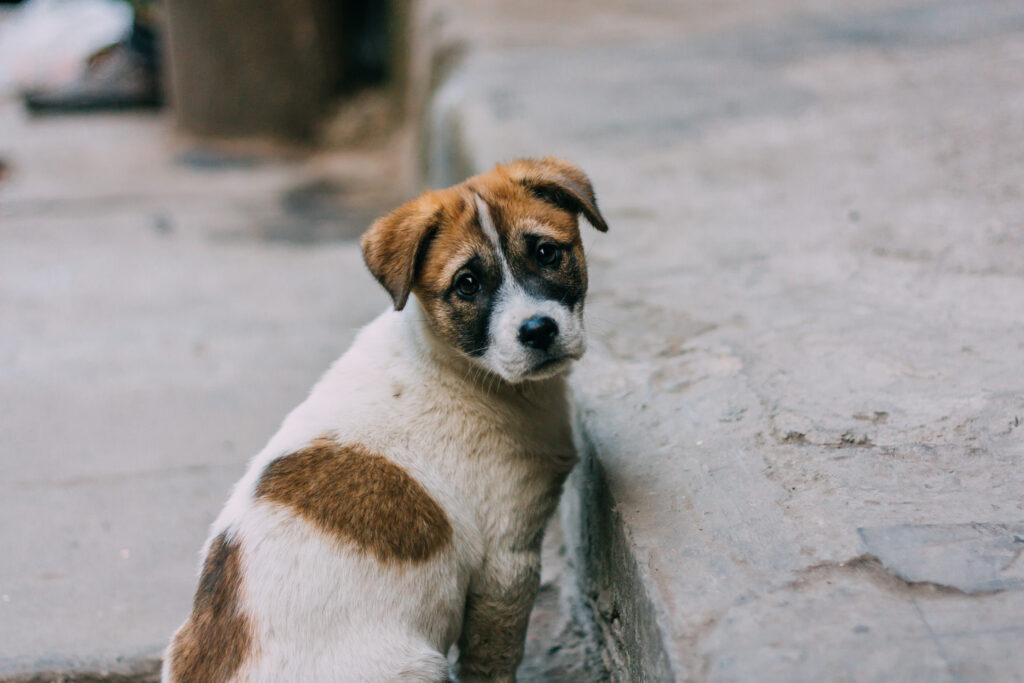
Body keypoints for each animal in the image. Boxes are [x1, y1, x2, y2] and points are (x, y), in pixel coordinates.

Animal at [160, 157, 606, 679]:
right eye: (467, 284)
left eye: (546, 252)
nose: (538, 330)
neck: (460, 367)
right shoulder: (507, 561)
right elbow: (493, 661)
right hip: (418, 664)